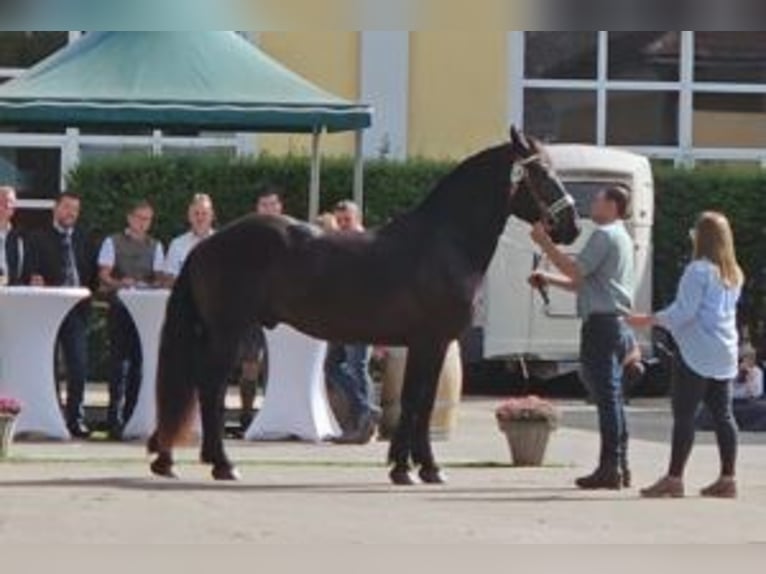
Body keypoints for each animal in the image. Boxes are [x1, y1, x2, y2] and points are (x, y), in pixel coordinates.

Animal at [147, 127, 580, 486]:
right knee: (211, 387)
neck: (443, 242)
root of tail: (208, 243)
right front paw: (417, 468)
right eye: (542, 172)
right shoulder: (431, 341)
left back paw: (173, 460)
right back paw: (221, 463)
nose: (572, 225)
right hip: (227, 331)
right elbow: (418, 401)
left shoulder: (428, 344)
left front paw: (410, 466)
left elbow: (418, 401)